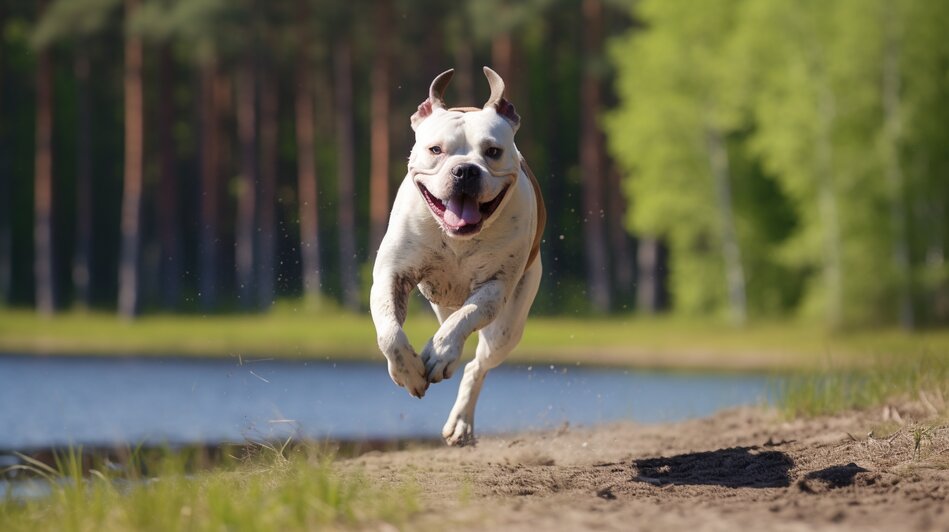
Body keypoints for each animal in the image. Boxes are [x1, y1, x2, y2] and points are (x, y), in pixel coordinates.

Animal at [372, 68, 548, 446]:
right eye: (436, 149)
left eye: (493, 151)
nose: (466, 170)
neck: (457, 239)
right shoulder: (392, 275)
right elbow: (390, 333)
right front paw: (409, 371)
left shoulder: (495, 288)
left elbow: (465, 319)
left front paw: (440, 354)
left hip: (509, 328)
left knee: (477, 364)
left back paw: (460, 422)